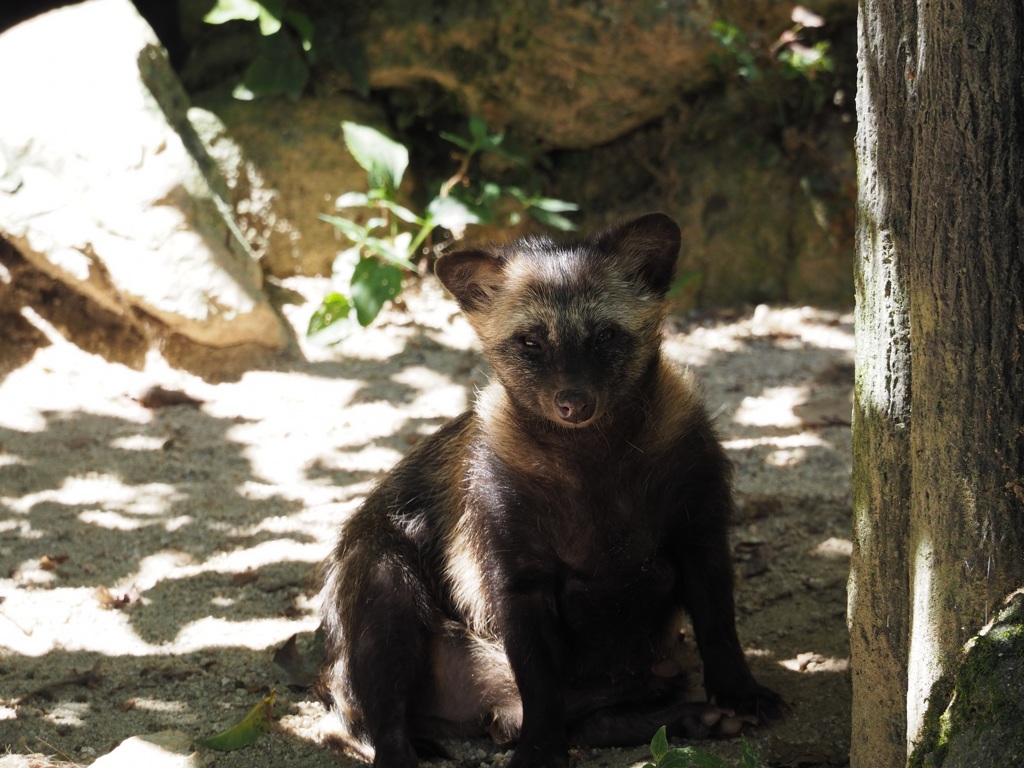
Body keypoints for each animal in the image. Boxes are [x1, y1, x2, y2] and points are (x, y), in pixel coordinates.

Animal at [317, 214, 782, 768]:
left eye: (606, 334)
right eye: (530, 341)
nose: (574, 402)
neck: (593, 466)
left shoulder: (699, 533)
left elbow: (719, 626)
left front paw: (740, 694)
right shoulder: (518, 576)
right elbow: (539, 682)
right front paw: (539, 751)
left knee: (596, 718)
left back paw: (693, 718)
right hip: (381, 582)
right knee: (388, 728)